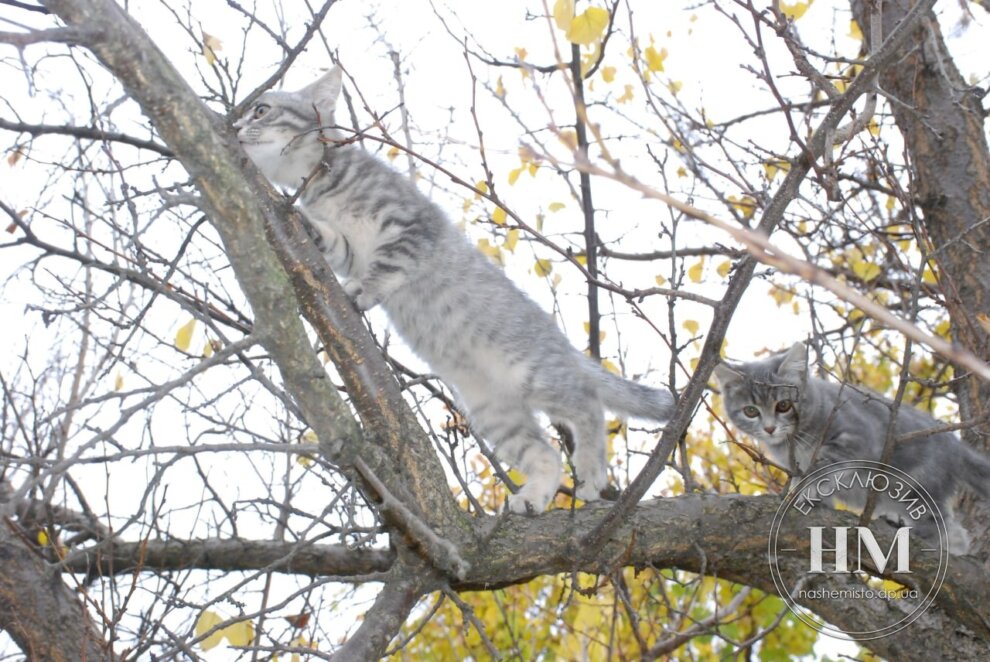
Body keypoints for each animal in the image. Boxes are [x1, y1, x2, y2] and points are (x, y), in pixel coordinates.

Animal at [236, 66, 680, 512]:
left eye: (261, 109)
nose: (235, 128)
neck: (321, 183)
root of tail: (561, 345)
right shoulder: (348, 245)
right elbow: (334, 242)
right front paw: (308, 227)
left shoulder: (414, 226)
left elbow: (389, 262)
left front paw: (362, 289)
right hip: (494, 412)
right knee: (545, 454)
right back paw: (534, 496)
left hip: (533, 370)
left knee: (588, 404)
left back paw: (590, 474)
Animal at [716, 342, 988, 556]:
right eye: (750, 411)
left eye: (783, 405)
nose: (770, 428)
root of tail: (954, 445)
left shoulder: (857, 437)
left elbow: (824, 463)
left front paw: (806, 489)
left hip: (918, 483)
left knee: (945, 528)